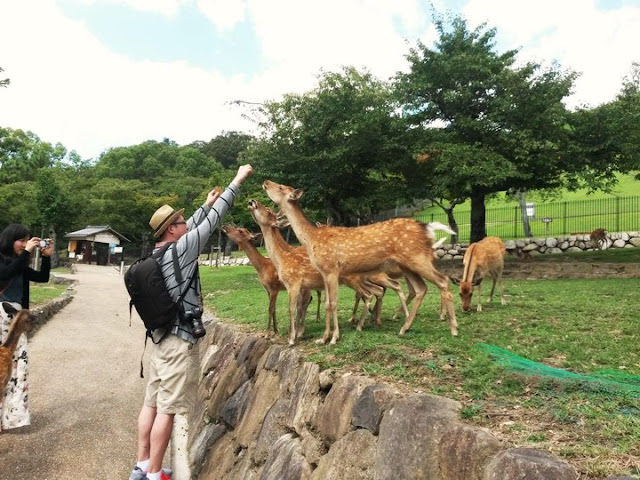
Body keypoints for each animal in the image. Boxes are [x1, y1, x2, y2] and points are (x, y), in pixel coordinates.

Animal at [262, 181, 458, 344]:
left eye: (281, 187)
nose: (266, 182)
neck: (311, 239)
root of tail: (428, 228)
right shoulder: (324, 273)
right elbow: (327, 303)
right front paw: (323, 338)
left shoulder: (332, 269)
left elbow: (332, 303)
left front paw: (333, 338)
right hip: (407, 264)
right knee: (421, 289)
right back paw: (404, 328)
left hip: (417, 258)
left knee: (443, 281)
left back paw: (454, 328)